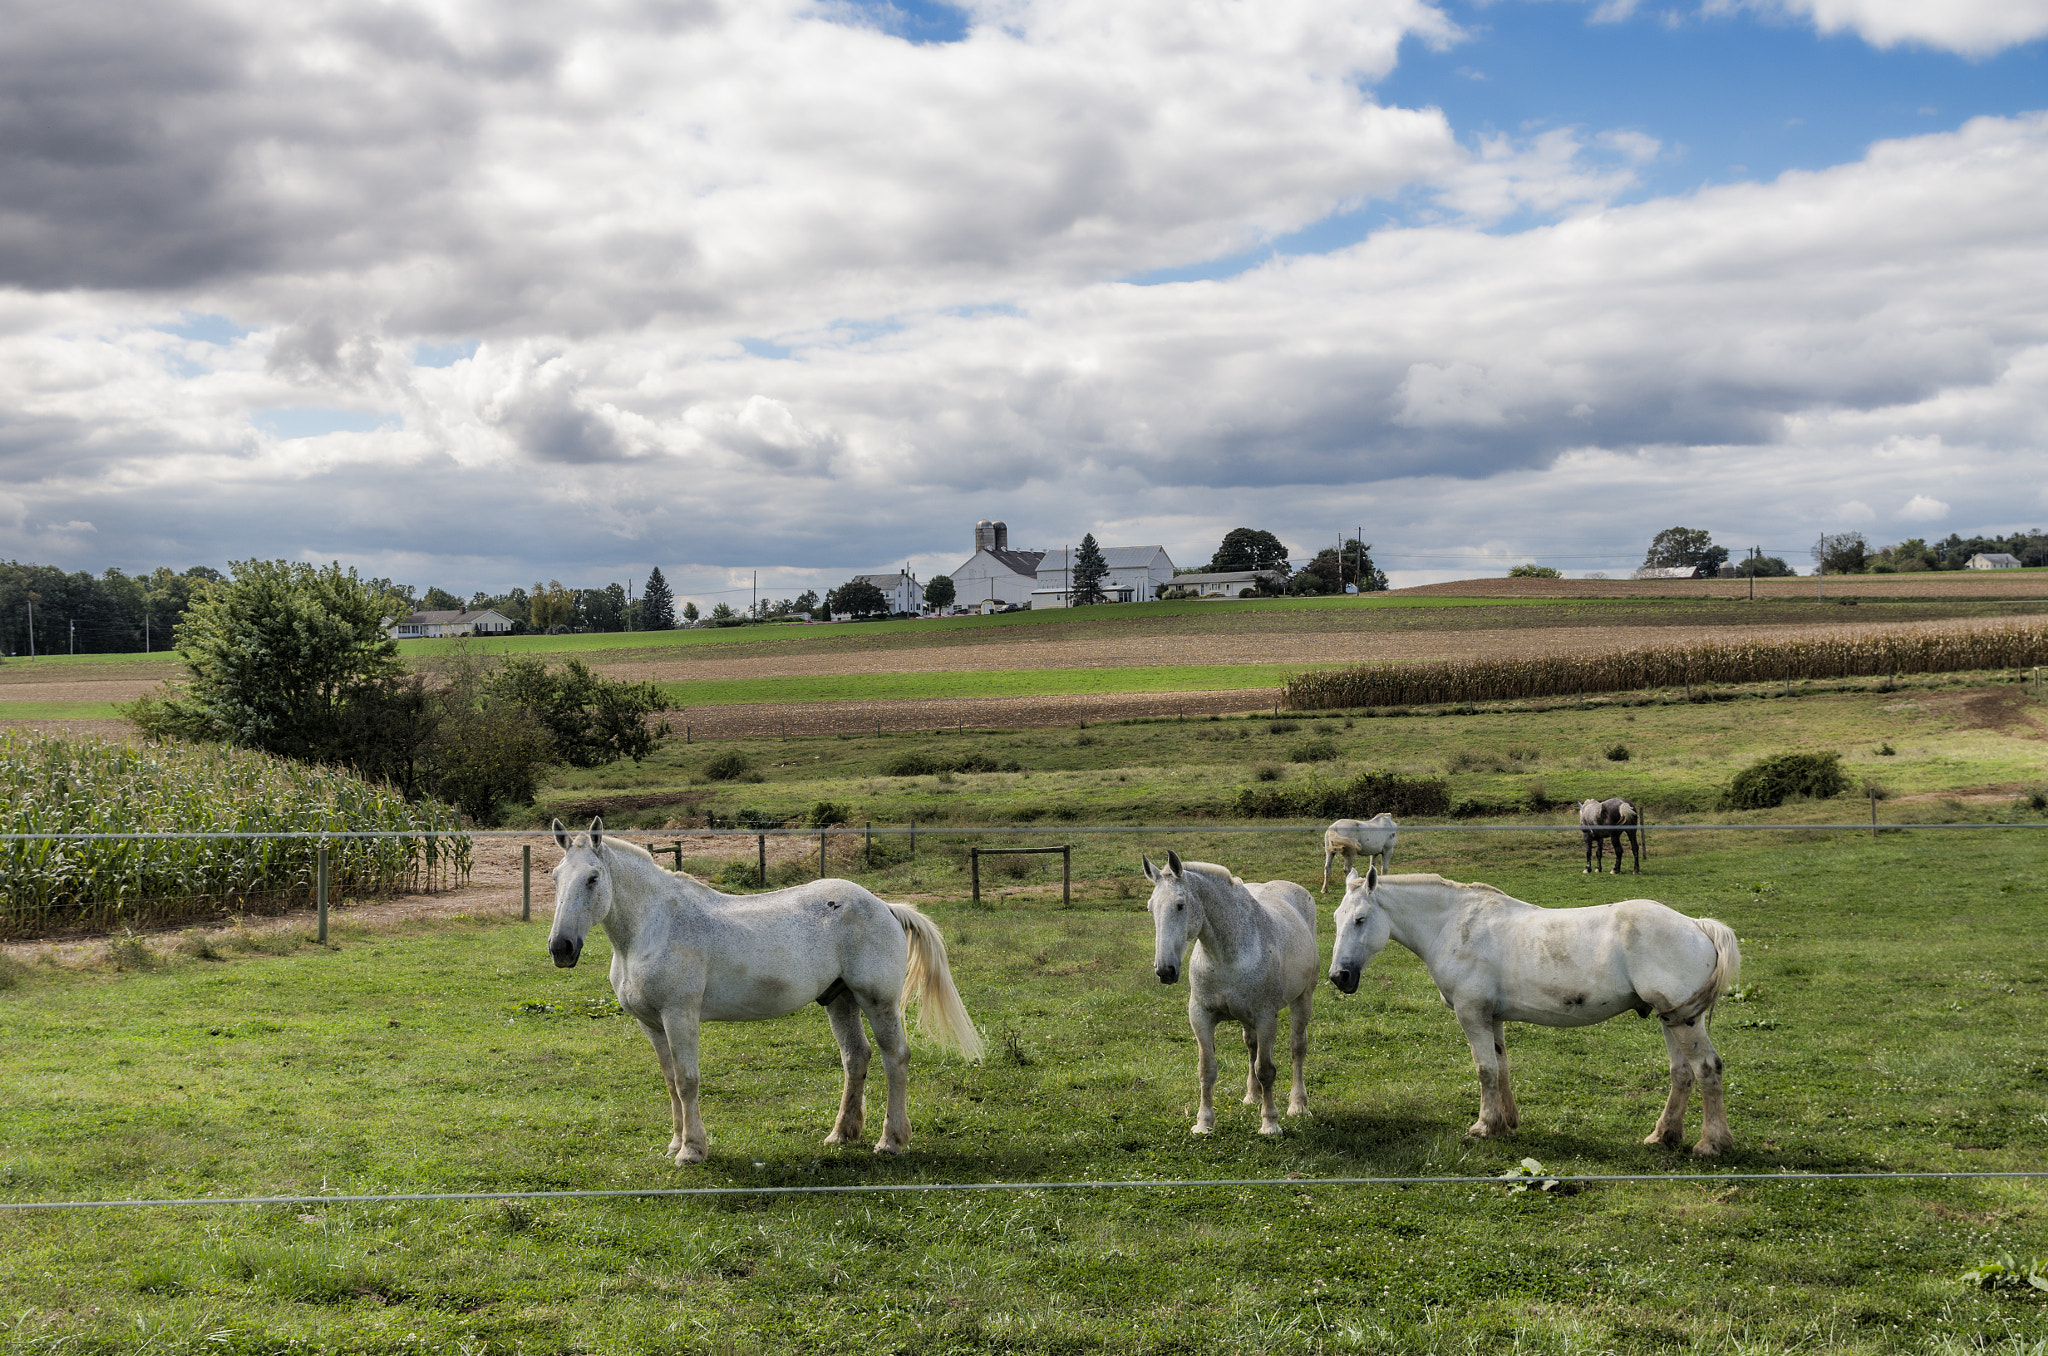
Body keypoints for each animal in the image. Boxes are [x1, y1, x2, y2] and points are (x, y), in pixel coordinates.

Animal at [548, 819, 978, 1171]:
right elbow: (670, 1082)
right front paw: (674, 1144)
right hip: (840, 1000)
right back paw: (842, 1134)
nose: (561, 948)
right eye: (554, 878)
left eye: (592, 878)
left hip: (878, 1001)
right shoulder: (651, 1024)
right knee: (856, 1057)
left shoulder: (679, 1016)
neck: (652, 928)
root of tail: (884, 906)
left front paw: (692, 1151)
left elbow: (687, 1081)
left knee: (895, 1058)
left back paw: (891, 1141)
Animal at [1146, 860, 1318, 1138]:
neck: (1227, 954)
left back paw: (1298, 1105)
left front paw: (1270, 1124)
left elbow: (1266, 1070)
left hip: (1303, 999)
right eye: (1150, 908)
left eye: (1180, 905)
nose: (1165, 970)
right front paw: (1204, 1123)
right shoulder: (1200, 1016)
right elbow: (1207, 1070)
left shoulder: (1266, 1018)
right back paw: (1252, 1096)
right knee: (1251, 1046)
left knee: (1297, 1048)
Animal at [1318, 872, 1736, 1155]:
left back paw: (1711, 1144)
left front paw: (1484, 1126)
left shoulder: (1471, 1015)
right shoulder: (1492, 1018)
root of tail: (1697, 925)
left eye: (1360, 919)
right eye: (1336, 918)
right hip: (1671, 1019)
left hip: (1685, 1023)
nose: (1339, 976)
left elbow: (1485, 1070)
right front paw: (1506, 1123)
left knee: (1706, 1069)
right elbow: (1501, 1067)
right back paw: (1663, 1135)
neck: (1453, 924)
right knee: (1682, 1074)